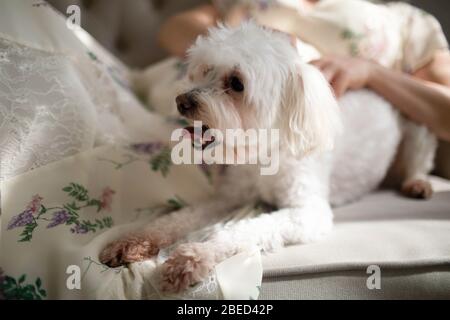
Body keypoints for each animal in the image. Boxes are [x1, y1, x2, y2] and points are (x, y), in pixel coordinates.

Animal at [100, 22, 438, 292]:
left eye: (237, 84)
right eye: (205, 70)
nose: (182, 101)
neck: (261, 156)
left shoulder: (308, 212)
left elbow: (241, 229)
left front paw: (193, 257)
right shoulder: (228, 197)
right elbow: (178, 218)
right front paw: (133, 241)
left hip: (417, 127)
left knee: (419, 159)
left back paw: (417, 183)